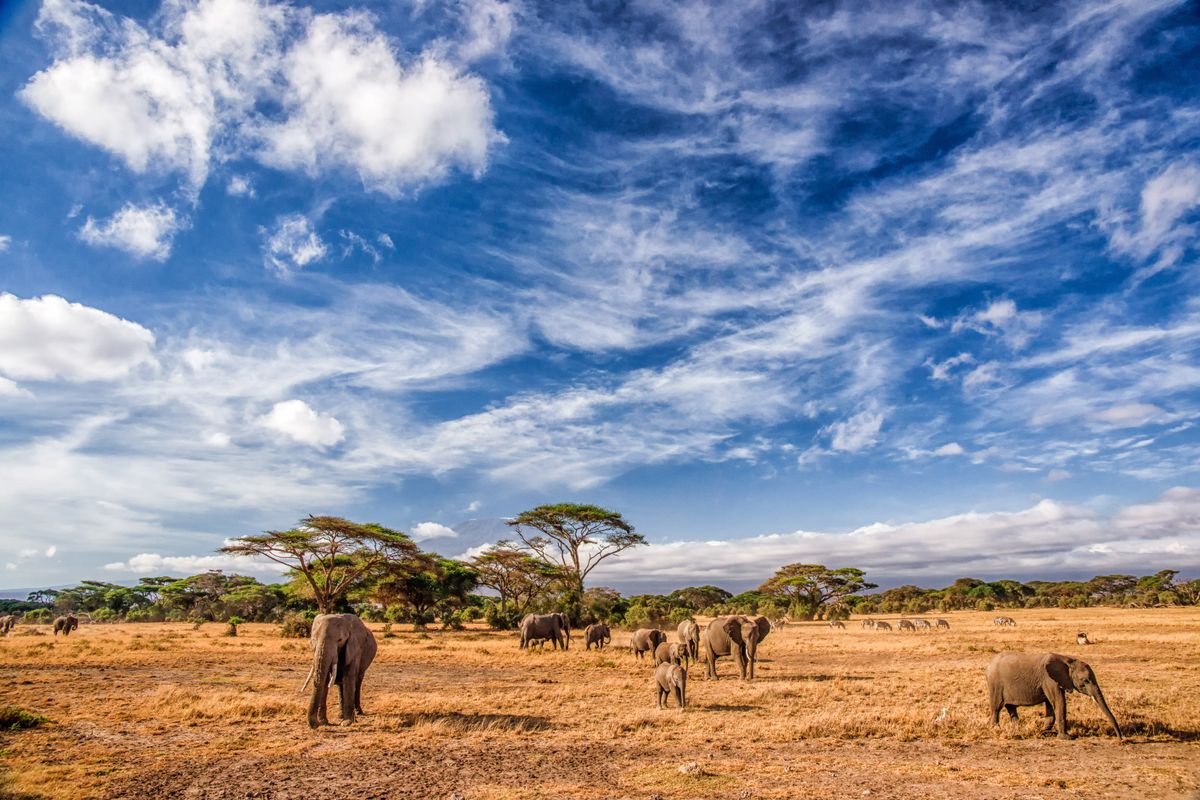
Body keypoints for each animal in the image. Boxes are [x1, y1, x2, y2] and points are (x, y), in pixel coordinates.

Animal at [984, 652, 1123, 743]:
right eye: (1085, 681)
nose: (1120, 739)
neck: (1068, 660)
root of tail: (989, 664)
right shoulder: (1049, 679)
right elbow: (1059, 701)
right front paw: (1066, 738)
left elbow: (1051, 706)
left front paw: (1045, 732)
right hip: (995, 684)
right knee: (996, 708)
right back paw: (996, 730)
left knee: (1011, 708)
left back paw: (1018, 729)